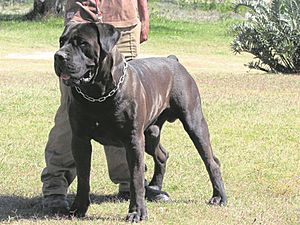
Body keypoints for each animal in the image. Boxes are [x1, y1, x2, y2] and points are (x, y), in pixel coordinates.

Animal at [54, 22, 227, 222]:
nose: (58, 55)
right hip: (151, 134)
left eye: (83, 43)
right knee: (162, 155)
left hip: (194, 124)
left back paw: (219, 196)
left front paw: (137, 212)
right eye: (62, 41)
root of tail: (173, 60)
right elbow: (83, 176)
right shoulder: (80, 140)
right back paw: (155, 187)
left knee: (211, 161)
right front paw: (78, 208)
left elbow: (136, 178)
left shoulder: (133, 141)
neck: (97, 94)